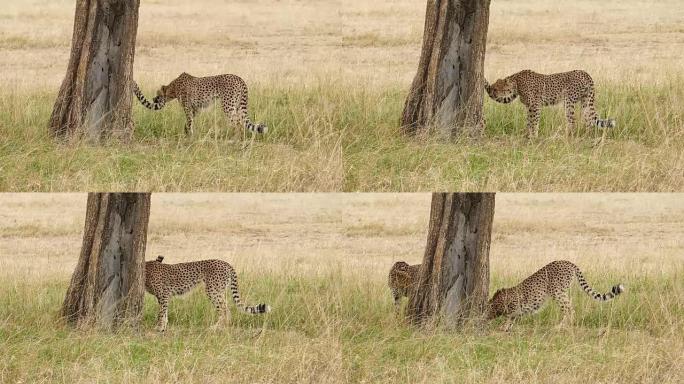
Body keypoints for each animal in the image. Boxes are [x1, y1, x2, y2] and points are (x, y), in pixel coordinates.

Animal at [131, 73, 268, 136]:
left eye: (157, 95)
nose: (154, 99)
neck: (173, 88)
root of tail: (239, 78)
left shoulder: (187, 107)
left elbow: (189, 120)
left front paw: (189, 136)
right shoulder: (195, 108)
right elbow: (190, 121)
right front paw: (187, 132)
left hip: (228, 105)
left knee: (238, 123)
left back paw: (234, 139)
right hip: (238, 105)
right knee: (241, 121)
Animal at [484, 70, 616, 137]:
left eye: (496, 89)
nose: (491, 94)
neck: (516, 82)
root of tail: (585, 73)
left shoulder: (535, 105)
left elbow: (534, 121)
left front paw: (533, 137)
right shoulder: (529, 106)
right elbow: (529, 121)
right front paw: (528, 135)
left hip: (569, 101)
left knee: (572, 120)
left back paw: (567, 136)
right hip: (585, 101)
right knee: (589, 119)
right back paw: (587, 136)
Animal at [486, 260, 624, 332]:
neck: (495, 303)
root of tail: (567, 262)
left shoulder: (514, 306)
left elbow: (510, 317)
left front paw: (503, 327)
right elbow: (513, 318)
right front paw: (506, 327)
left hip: (557, 293)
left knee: (569, 309)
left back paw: (561, 326)